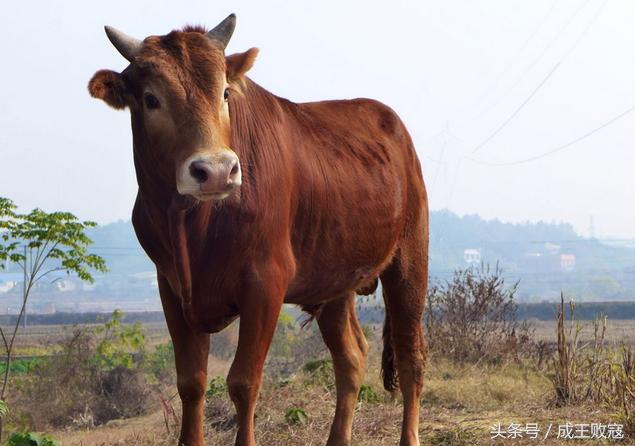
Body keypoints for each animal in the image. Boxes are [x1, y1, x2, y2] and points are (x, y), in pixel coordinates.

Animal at [88, 13, 428, 446]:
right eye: (150, 99)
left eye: (224, 93)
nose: (216, 170)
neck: (193, 225)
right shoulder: (172, 288)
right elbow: (191, 383)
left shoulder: (265, 284)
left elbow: (243, 382)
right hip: (334, 282)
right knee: (351, 358)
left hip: (409, 260)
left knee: (410, 356)